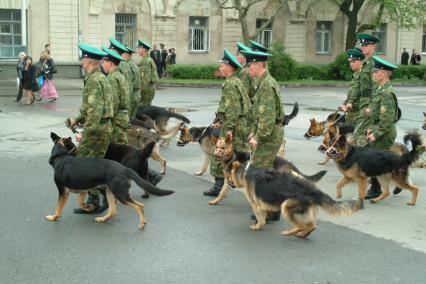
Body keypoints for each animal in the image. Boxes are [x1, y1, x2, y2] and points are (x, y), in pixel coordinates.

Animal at [230, 160, 362, 237]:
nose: (228, 181)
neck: (246, 171)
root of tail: (314, 191)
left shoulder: (257, 206)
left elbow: (260, 219)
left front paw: (258, 226)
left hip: (286, 206)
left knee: (302, 225)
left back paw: (289, 232)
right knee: (311, 226)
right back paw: (302, 234)